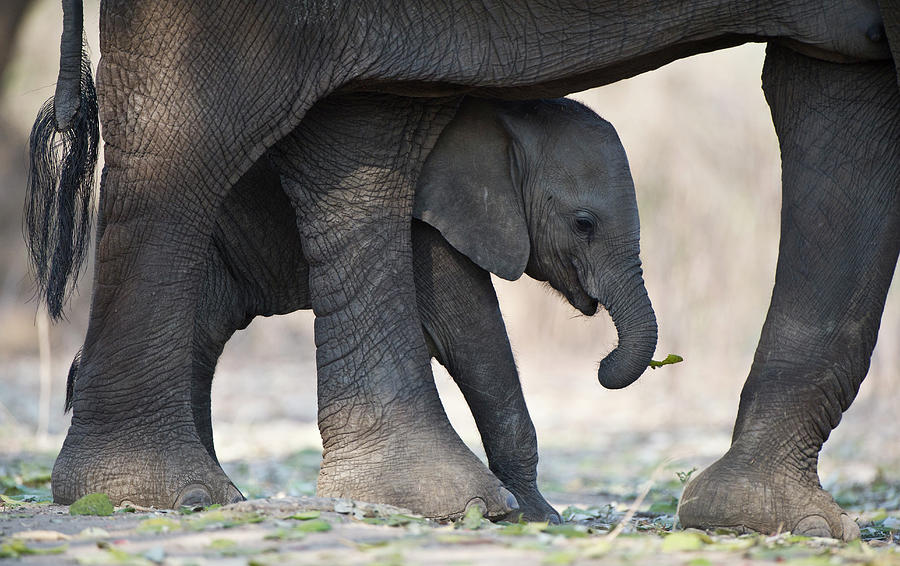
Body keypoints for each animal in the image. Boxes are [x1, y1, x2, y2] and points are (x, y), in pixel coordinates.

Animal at [65, 97, 652, 524]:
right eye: (583, 224)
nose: (601, 365)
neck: (506, 120)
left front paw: (529, 513)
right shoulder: (427, 216)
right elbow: (467, 331)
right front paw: (535, 517)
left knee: (200, 336)